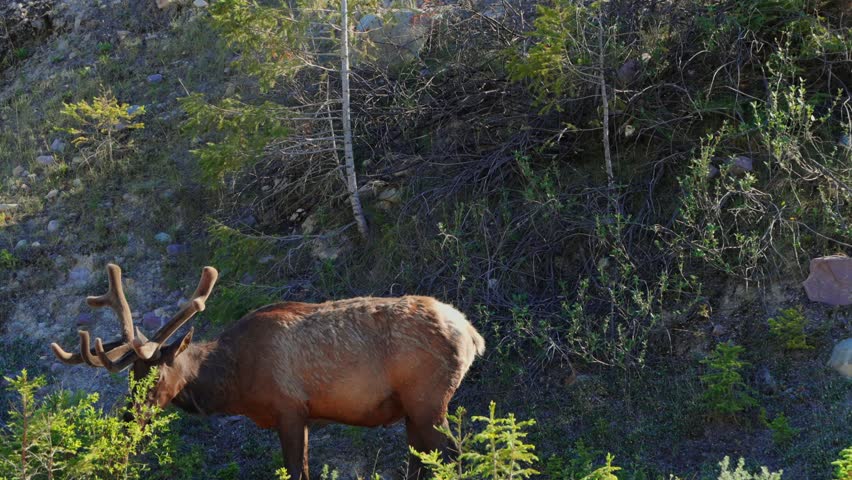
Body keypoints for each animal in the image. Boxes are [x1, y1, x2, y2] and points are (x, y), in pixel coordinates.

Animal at [50, 264, 485, 480]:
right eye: (131, 375)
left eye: (156, 373)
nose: (127, 419)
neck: (236, 384)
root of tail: (472, 335)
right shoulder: (301, 416)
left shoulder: (289, 409)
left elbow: (297, 472)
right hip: (415, 410)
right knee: (422, 460)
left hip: (429, 399)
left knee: (453, 453)